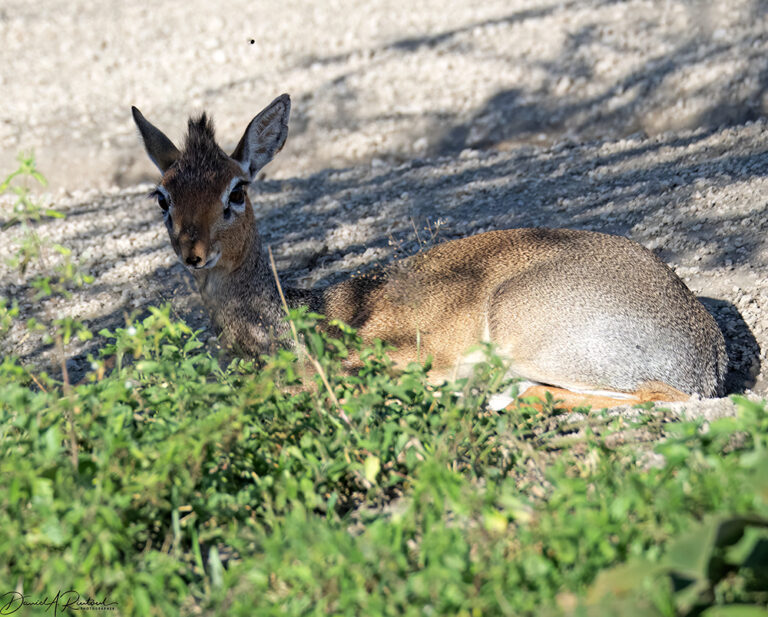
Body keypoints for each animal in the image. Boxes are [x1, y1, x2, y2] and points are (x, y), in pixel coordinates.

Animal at [132, 94, 728, 406]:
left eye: (237, 191)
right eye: (162, 196)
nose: (193, 250)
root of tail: (708, 356)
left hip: (527, 327)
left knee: (656, 396)